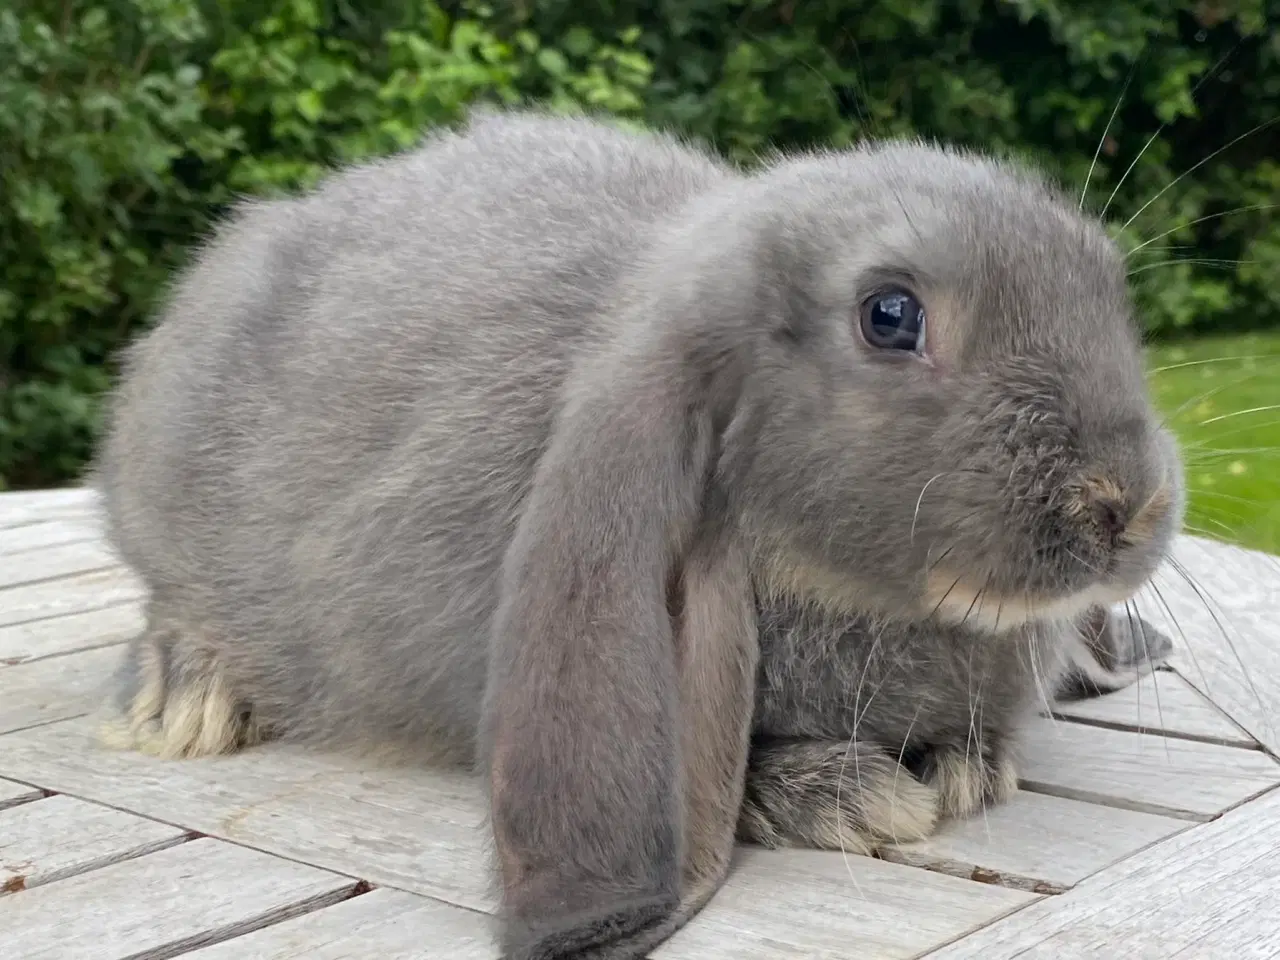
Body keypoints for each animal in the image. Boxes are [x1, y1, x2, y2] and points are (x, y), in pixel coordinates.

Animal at [92, 106, 1177, 960]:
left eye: (1105, 285)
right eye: (890, 314)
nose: (1124, 505)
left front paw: (966, 766)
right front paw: (852, 794)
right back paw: (180, 698)